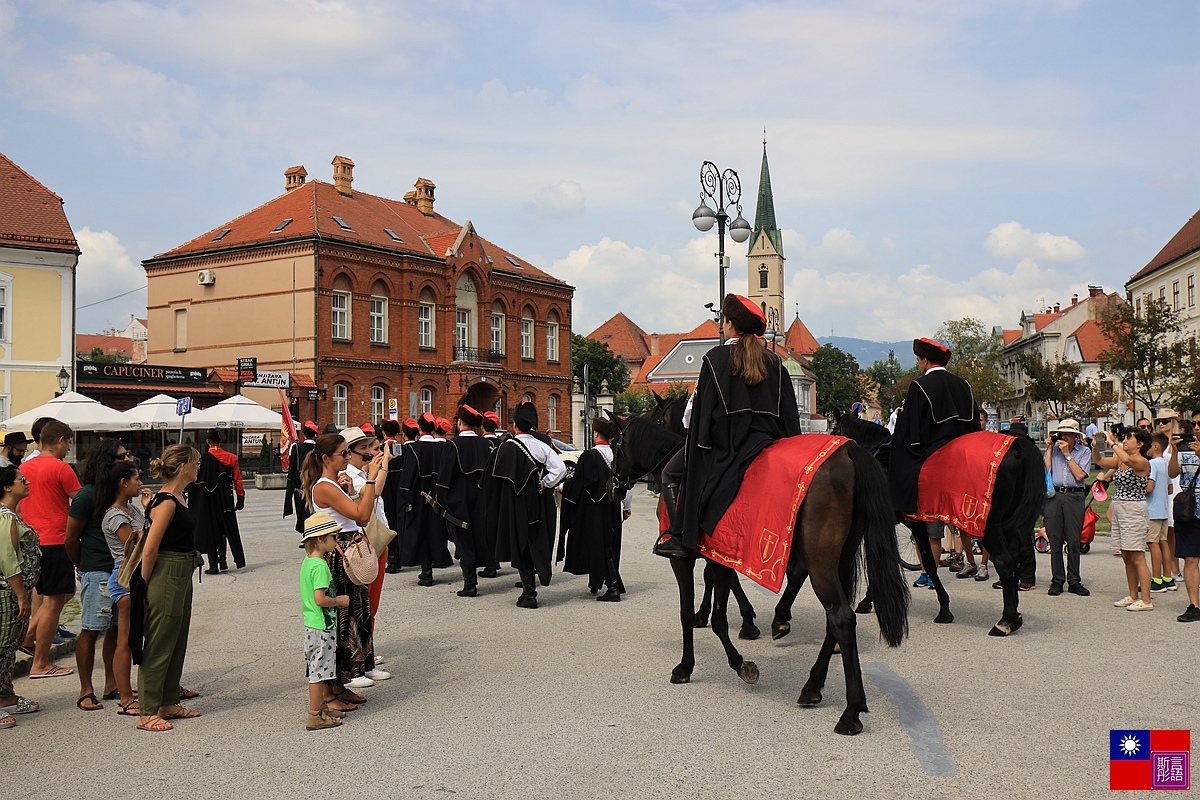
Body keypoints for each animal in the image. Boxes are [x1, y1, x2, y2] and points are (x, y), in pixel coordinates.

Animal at [609, 412, 907, 738]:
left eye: (613, 444)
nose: (614, 487)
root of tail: (849, 450)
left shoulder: (683, 559)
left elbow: (689, 614)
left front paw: (689, 666)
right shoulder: (719, 554)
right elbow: (719, 605)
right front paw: (738, 642)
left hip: (820, 561)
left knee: (840, 616)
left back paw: (850, 712)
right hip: (840, 557)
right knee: (835, 618)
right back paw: (812, 685)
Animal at [830, 412, 1046, 638]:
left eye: (834, 430)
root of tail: (1015, 447)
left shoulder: (900, 522)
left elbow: (910, 559)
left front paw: (866, 601)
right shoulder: (915, 523)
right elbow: (929, 561)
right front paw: (944, 607)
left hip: (988, 526)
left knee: (1005, 561)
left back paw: (1005, 621)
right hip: (1009, 523)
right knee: (1017, 556)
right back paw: (1016, 614)